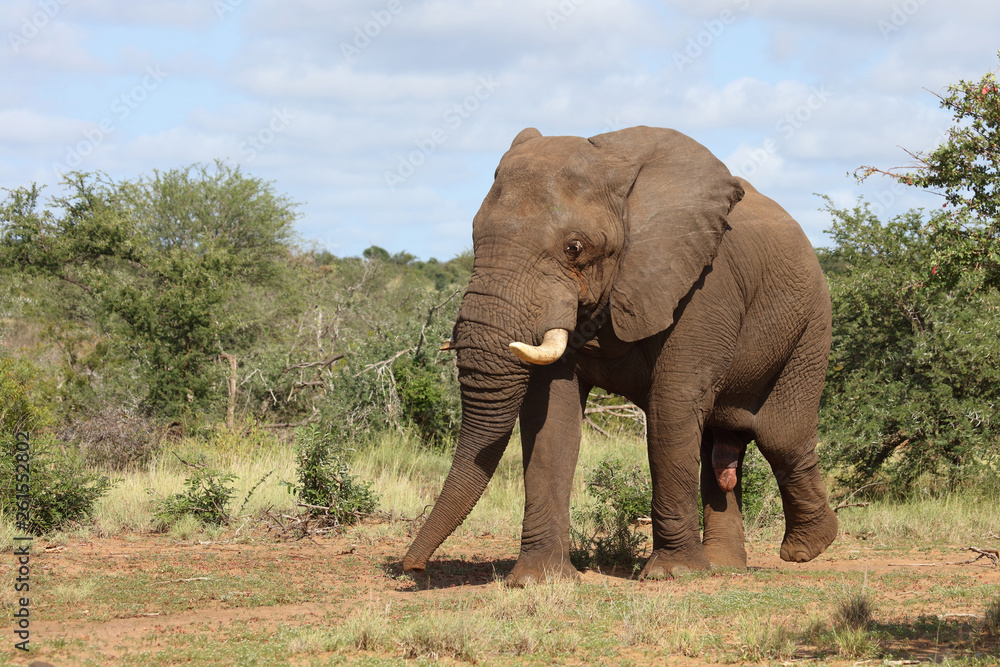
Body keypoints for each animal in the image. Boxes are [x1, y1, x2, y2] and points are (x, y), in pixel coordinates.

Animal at [402, 125, 840, 584]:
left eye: (574, 247)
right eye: (473, 236)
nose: (413, 567)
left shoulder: (704, 284)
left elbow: (672, 405)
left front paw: (672, 575)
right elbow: (550, 417)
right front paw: (539, 580)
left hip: (811, 325)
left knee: (780, 436)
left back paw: (807, 548)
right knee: (719, 446)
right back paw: (723, 566)